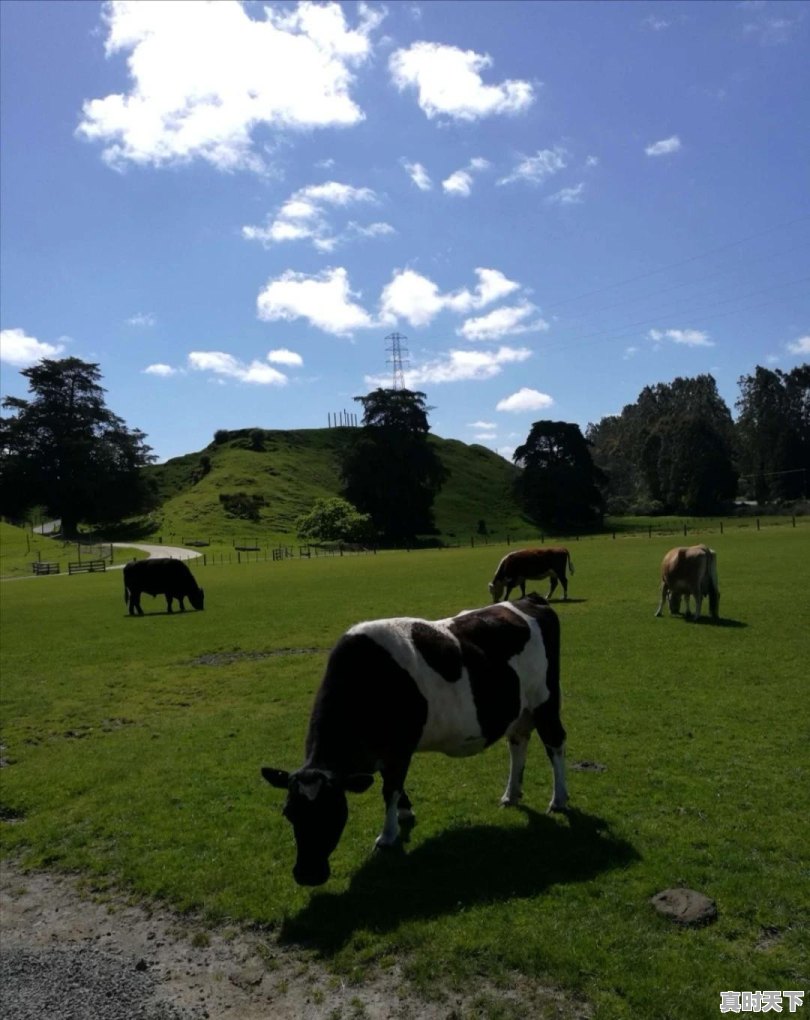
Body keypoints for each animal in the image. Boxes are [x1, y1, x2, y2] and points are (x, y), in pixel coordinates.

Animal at [261, 595, 563, 889]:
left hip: (545, 700)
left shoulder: (399, 749)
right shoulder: (387, 754)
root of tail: (530, 599)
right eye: (289, 812)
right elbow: (393, 785)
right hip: (520, 710)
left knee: (555, 743)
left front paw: (387, 835)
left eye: (333, 812)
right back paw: (511, 794)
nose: (307, 875)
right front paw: (404, 812)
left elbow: (390, 789)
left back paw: (559, 800)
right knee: (518, 743)